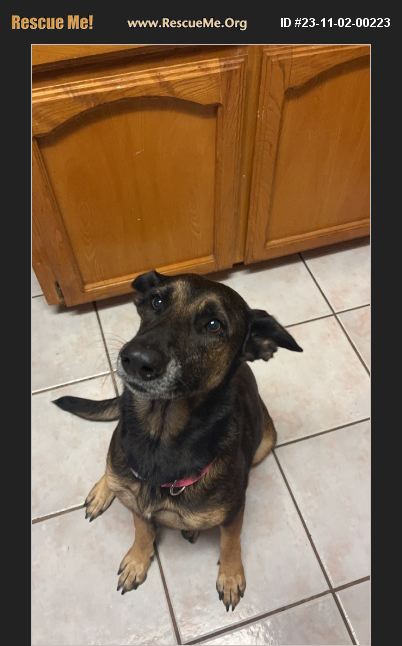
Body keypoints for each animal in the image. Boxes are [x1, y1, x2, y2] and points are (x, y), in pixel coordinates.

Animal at [54, 270, 302, 611]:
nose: (136, 359)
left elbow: (230, 541)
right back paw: (103, 489)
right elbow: (142, 530)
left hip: (266, 441)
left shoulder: (234, 509)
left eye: (214, 325)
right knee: (112, 468)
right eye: (157, 301)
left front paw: (230, 575)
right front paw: (138, 559)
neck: (161, 431)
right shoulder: (135, 500)